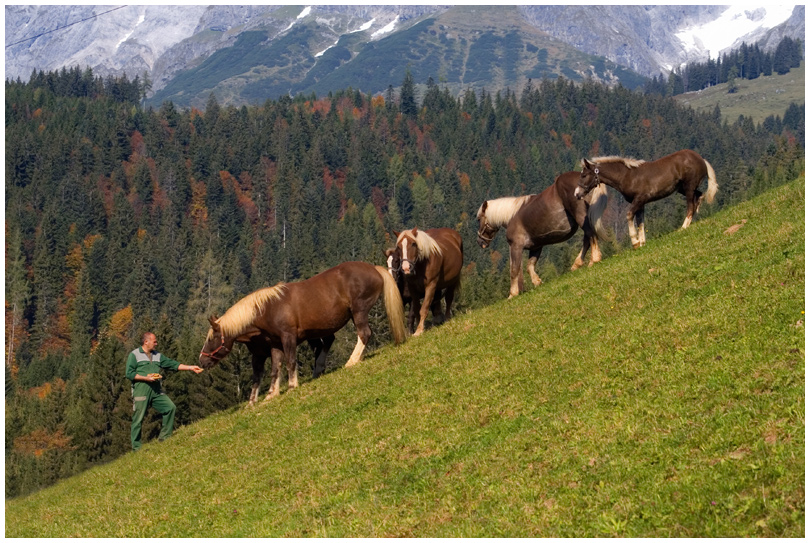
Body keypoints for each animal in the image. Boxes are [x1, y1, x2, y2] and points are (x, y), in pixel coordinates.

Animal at [199, 262, 408, 406]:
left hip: (359, 311)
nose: (202, 361)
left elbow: (291, 362)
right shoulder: (275, 345)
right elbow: (275, 368)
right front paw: (271, 394)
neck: (269, 307)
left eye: (212, 338)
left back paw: (351, 361)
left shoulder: (288, 338)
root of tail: (373, 268)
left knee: (364, 333)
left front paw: (292, 385)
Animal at [474, 170, 608, 298]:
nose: (480, 242)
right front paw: (537, 282)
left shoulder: (516, 247)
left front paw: (512, 294)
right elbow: (529, 266)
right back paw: (579, 263)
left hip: (581, 217)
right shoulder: (536, 247)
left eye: (479, 219)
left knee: (590, 235)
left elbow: (514, 270)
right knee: (587, 238)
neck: (511, 216)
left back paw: (595, 258)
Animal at [572, 150, 716, 250]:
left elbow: (629, 215)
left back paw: (684, 226)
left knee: (691, 205)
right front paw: (642, 243)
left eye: (584, 175)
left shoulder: (639, 199)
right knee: (699, 197)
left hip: (688, 187)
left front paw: (635, 243)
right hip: (683, 188)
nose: (577, 193)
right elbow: (640, 221)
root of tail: (701, 158)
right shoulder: (640, 204)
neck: (627, 176)